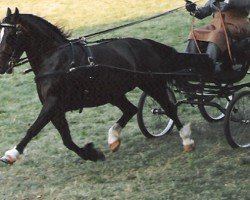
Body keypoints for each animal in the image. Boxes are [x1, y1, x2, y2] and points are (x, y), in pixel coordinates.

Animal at [0, 7, 194, 164]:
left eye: (10, 36)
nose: (1, 65)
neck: (56, 59)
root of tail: (145, 43)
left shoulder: (52, 103)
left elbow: (34, 129)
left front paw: (12, 154)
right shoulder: (56, 108)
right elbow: (66, 139)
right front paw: (92, 154)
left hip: (151, 83)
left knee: (168, 108)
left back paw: (186, 140)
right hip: (113, 93)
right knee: (131, 109)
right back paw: (113, 138)